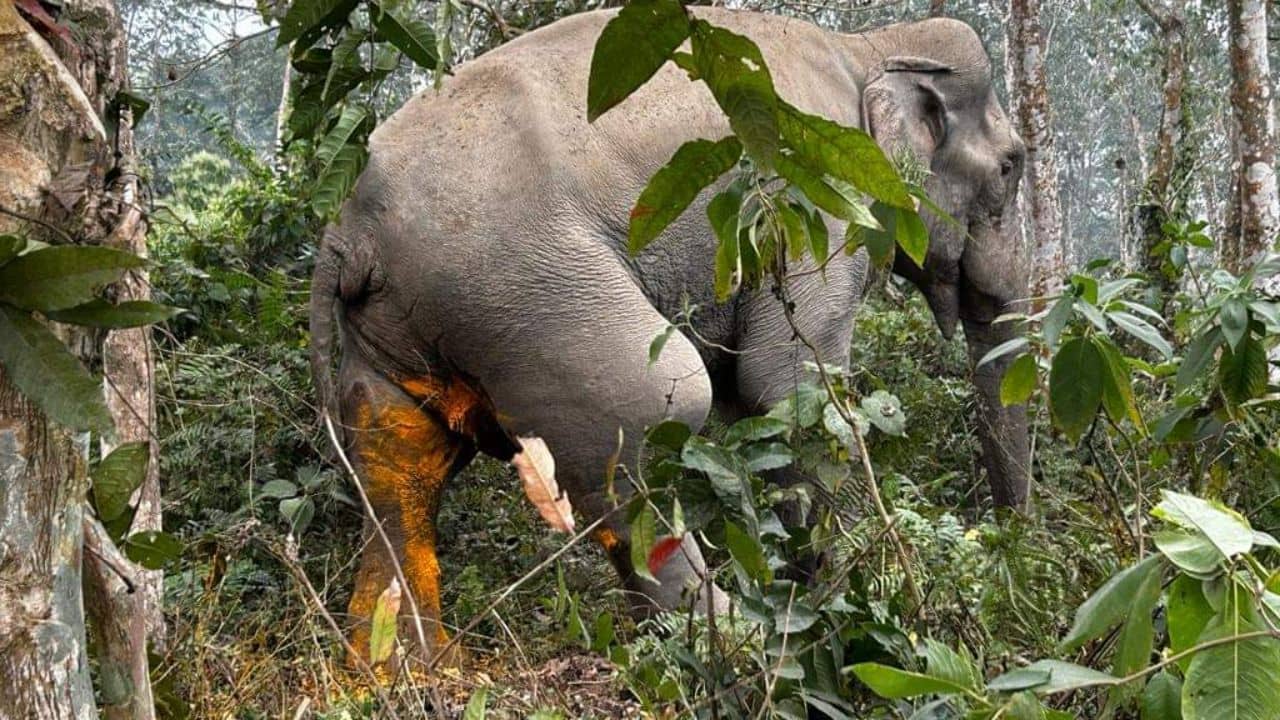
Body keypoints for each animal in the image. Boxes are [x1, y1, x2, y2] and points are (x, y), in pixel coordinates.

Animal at [309, 6, 1030, 667]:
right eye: (1011, 167)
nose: (1009, 549)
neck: (868, 48)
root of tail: (349, 236)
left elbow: (750, 403)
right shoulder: (813, 202)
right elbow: (784, 387)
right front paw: (852, 605)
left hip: (405, 328)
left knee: (401, 464)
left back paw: (400, 675)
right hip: (525, 295)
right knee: (655, 409)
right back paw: (734, 652)